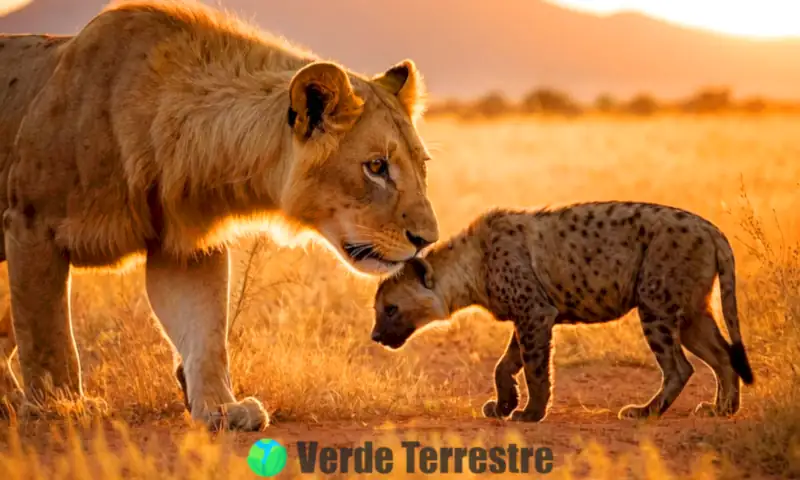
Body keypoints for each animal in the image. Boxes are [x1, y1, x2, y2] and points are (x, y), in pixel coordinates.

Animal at [0, 0, 438, 428]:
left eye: (422, 164)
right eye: (376, 166)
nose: (427, 240)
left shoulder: (185, 248)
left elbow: (206, 331)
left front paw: (222, 409)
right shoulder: (30, 223)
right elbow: (47, 333)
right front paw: (61, 407)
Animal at [372, 204, 752, 422]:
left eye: (390, 308)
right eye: (377, 310)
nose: (374, 336)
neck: (470, 269)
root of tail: (712, 228)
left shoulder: (535, 313)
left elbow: (536, 370)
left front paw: (530, 413)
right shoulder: (528, 315)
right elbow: (504, 365)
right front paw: (503, 405)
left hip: (655, 305)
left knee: (680, 367)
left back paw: (644, 412)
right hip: (690, 314)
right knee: (723, 356)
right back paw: (721, 410)